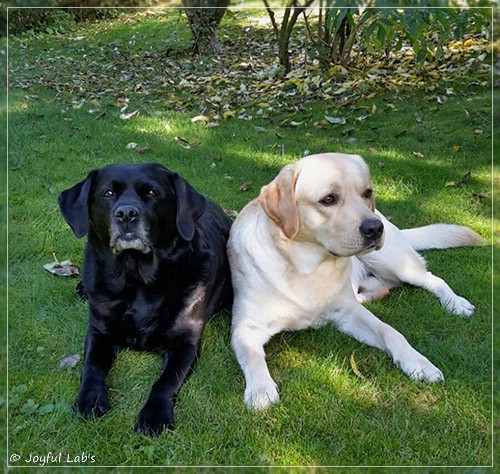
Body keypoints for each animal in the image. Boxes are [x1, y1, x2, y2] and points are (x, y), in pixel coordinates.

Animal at [58, 164, 232, 436]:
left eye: (151, 193)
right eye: (108, 193)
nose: (126, 214)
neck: (136, 280)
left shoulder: (185, 344)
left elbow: (165, 382)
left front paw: (154, 414)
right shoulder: (98, 332)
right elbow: (91, 367)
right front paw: (90, 399)